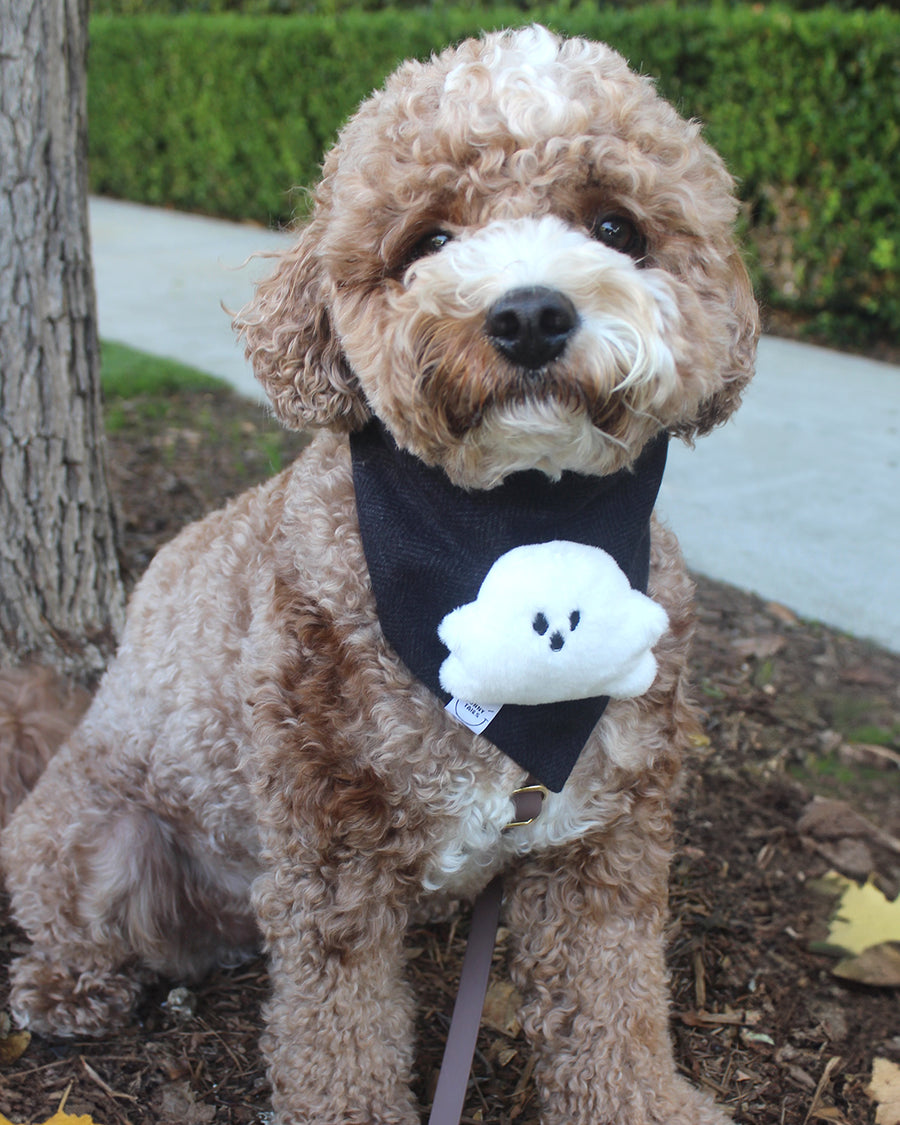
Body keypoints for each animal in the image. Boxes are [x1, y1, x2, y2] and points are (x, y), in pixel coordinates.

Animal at [3, 26, 756, 1125]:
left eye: (616, 225)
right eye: (430, 239)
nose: (530, 314)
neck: (511, 519)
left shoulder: (600, 836)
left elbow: (611, 1000)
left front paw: (642, 1103)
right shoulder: (330, 854)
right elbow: (339, 1035)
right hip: (97, 839)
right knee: (68, 922)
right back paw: (67, 987)